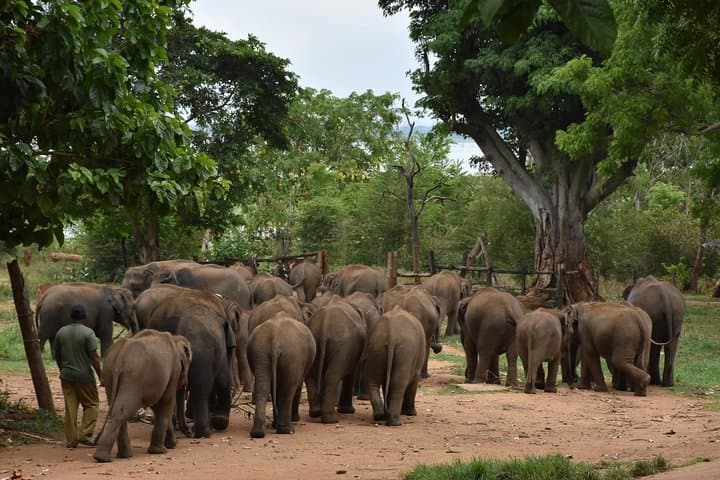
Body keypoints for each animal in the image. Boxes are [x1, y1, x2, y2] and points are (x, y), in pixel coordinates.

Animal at [93, 330, 192, 462]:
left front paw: (170, 445)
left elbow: (158, 407)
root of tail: (121, 353)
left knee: (117, 409)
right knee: (121, 411)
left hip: (108, 374)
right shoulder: (174, 371)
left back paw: (120, 456)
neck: (175, 339)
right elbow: (166, 402)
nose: (189, 433)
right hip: (134, 378)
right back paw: (105, 458)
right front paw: (162, 450)